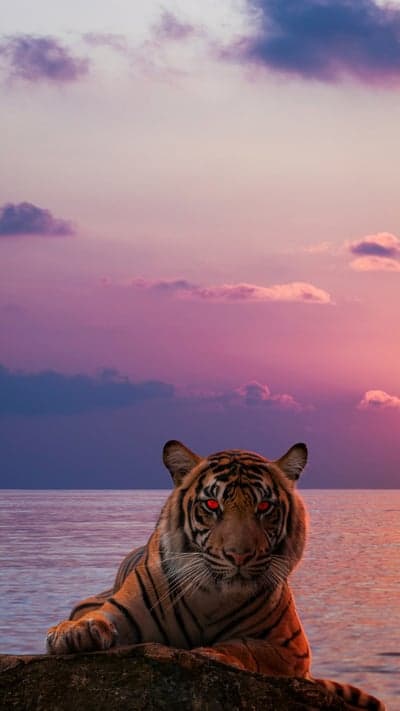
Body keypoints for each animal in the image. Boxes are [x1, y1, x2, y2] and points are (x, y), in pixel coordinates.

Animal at [47, 440, 386, 711]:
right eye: (212, 505)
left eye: (265, 507)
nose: (239, 555)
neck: (212, 597)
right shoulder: (116, 609)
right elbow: (96, 617)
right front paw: (74, 632)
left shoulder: (293, 648)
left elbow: (245, 646)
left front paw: (211, 653)